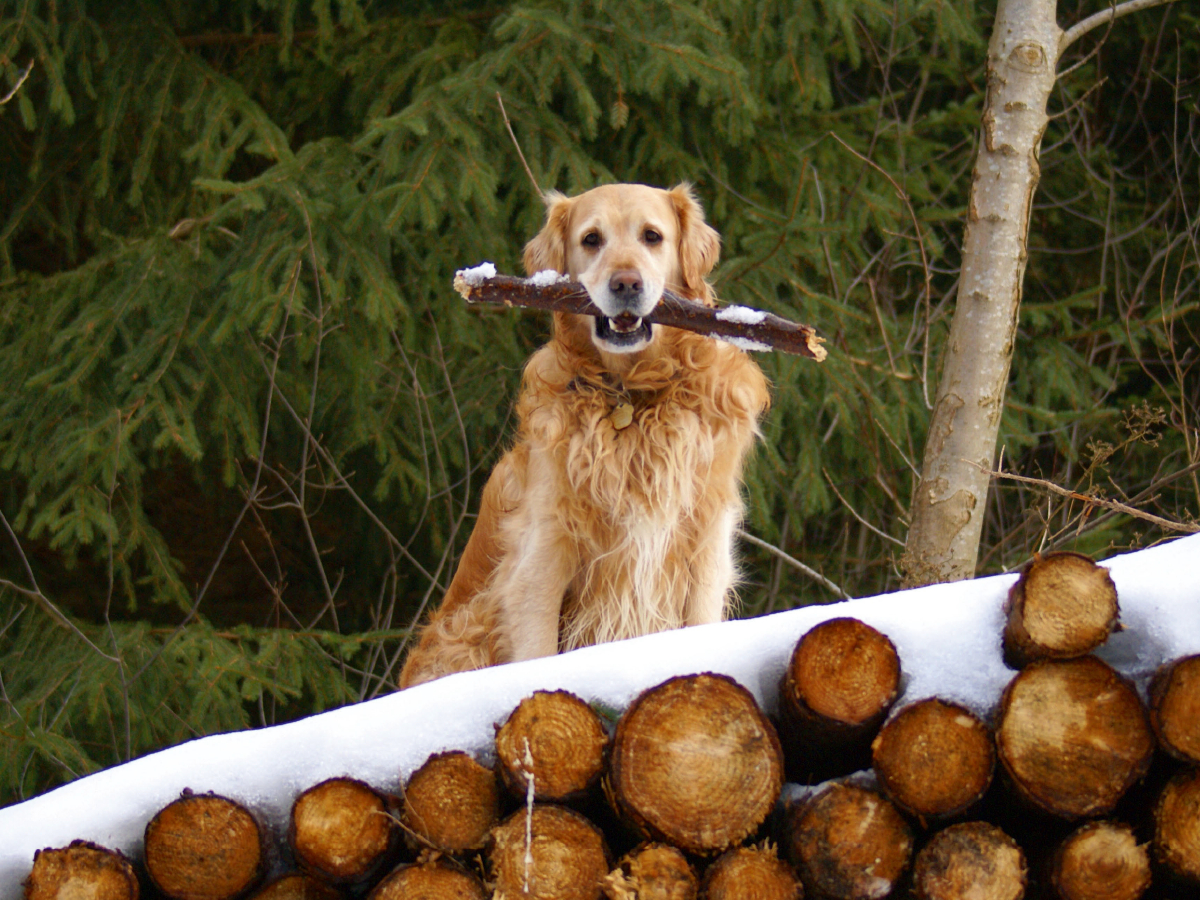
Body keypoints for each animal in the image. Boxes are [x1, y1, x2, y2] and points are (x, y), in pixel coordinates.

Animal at [398, 184, 763, 691]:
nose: (626, 284)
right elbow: (537, 650)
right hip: (464, 629)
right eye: (591, 239)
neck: (631, 394)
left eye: (652, 236)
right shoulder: (543, 554)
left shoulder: (704, 545)